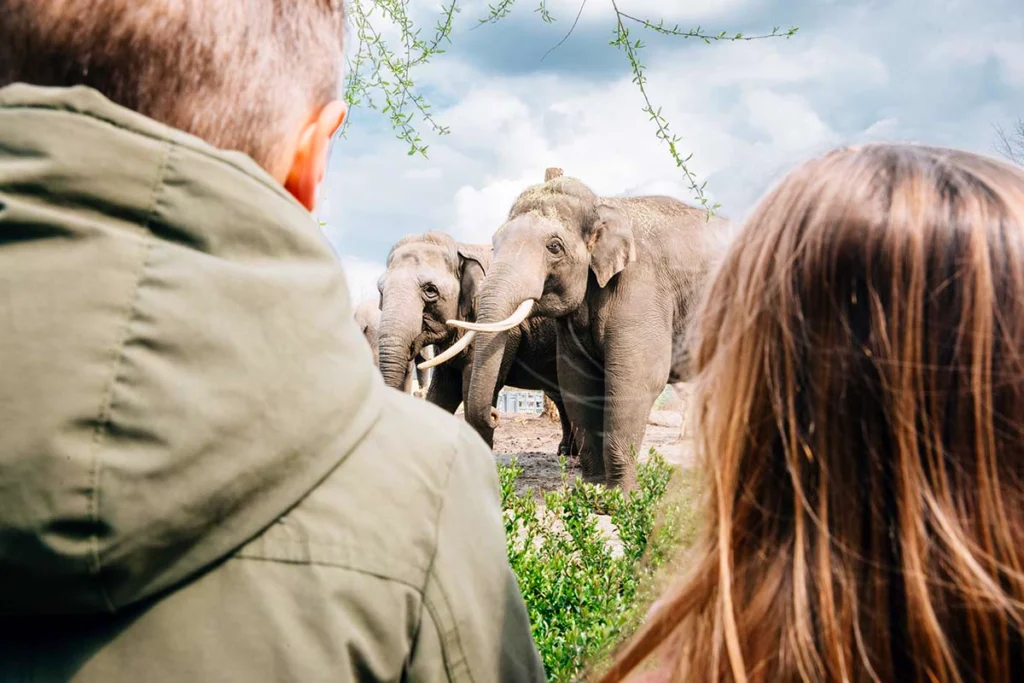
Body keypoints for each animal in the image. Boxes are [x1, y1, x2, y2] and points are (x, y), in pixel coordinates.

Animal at [448, 174, 737, 489]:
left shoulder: (641, 287)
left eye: (554, 247)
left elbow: (636, 380)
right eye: (494, 243)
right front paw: (592, 487)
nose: (495, 413)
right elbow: (577, 380)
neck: (603, 205)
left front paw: (621, 495)